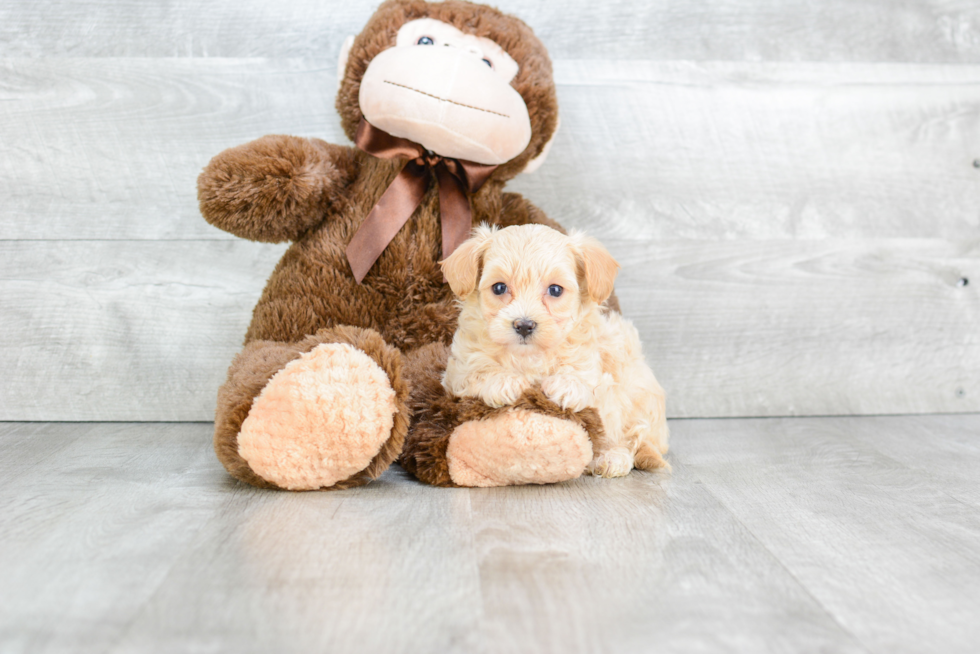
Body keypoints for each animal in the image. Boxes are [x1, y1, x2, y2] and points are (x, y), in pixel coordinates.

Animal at [440, 224, 668, 476]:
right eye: (499, 287)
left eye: (555, 290)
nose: (524, 325)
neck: (528, 357)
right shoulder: (457, 372)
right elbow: (478, 370)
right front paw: (503, 381)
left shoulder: (597, 370)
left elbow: (582, 376)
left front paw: (567, 385)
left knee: (632, 435)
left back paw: (612, 457)